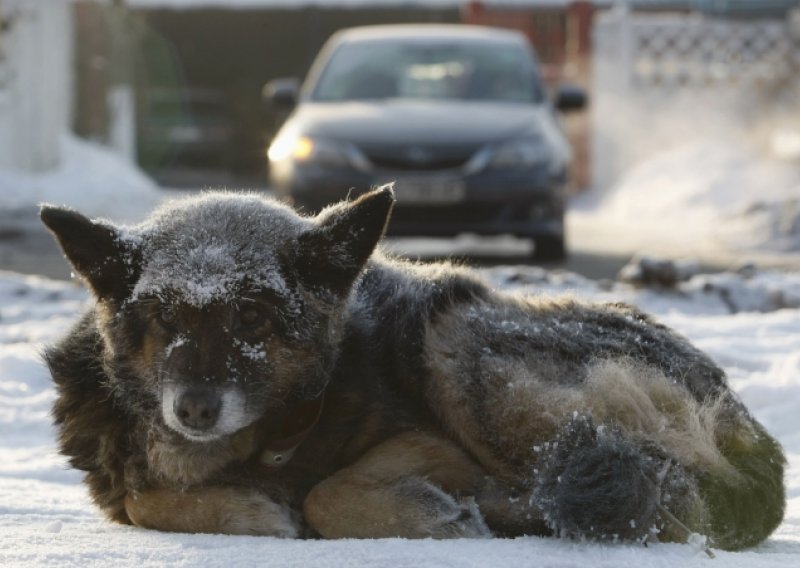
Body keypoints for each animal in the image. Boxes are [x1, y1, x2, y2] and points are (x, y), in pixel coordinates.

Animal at [40, 187, 784, 552]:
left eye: (250, 317)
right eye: (164, 318)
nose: (193, 409)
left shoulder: (429, 443)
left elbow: (327, 493)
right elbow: (142, 499)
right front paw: (247, 509)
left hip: (459, 349)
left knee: (667, 495)